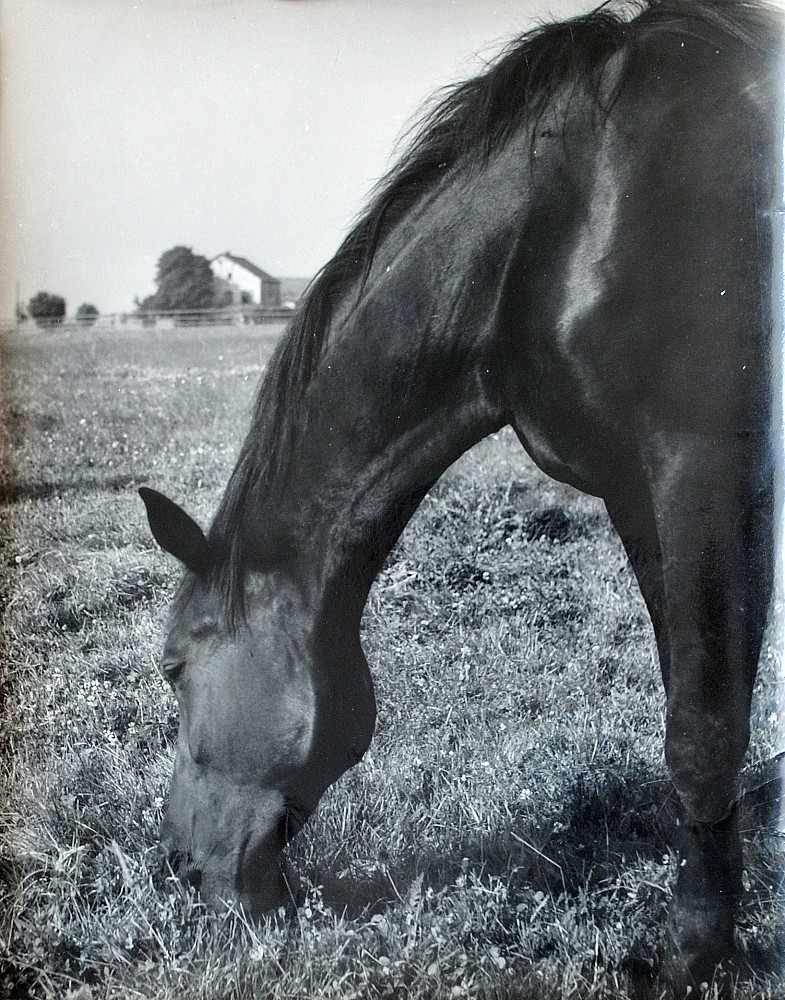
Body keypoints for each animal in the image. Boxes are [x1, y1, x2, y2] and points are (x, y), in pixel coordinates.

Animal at [140, 0, 782, 984]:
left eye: (174, 668)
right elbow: (695, 694)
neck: (563, 224)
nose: (182, 868)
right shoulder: (639, 496)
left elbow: (703, 726)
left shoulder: (703, 470)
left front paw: (689, 953)